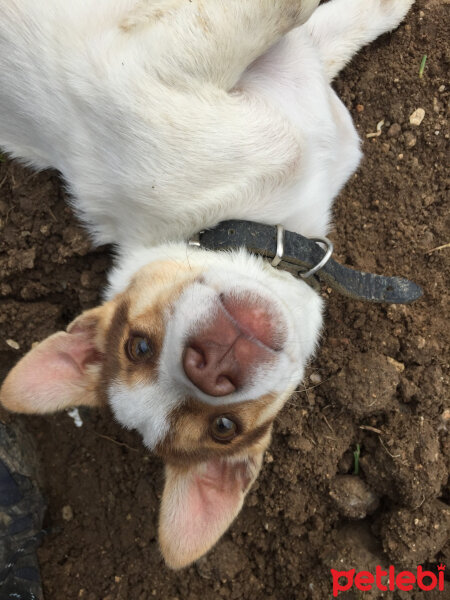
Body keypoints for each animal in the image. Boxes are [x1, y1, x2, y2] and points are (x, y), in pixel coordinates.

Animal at [0, 0, 414, 568]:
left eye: (224, 427)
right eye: (138, 347)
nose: (213, 366)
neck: (238, 218)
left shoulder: (298, 70)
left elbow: (335, 27)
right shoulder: (147, 68)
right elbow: (279, 12)